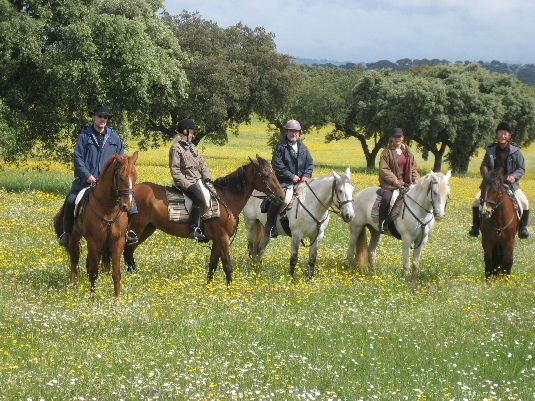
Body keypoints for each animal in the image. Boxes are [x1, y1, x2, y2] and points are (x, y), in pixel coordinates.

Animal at [52, 152, 138, 296]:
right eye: (120, 177)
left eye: (135, 176)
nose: (127, 206)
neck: (108, 208)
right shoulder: (93, 241)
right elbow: (93, 272)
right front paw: (92, 297)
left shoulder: (118, 241)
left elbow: (116, 273)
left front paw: (117, 298)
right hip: (74, 238)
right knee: (74, 259)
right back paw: (72, 284)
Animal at [123, 155, 286, 282]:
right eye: (265, 174)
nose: (281, 196)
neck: (226, 198)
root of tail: (130, 193)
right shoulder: (223, 238)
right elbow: (227, 265)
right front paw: (229, 291)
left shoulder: (217, 240)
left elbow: (212, 265)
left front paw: (208, 289)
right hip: (136, 228)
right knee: (127, 252)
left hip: (147, 228)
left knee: (129, 253)